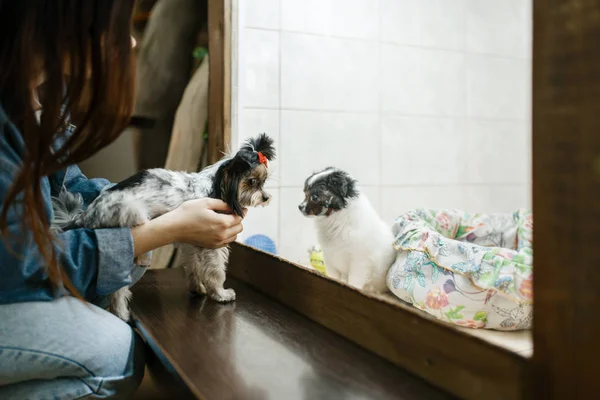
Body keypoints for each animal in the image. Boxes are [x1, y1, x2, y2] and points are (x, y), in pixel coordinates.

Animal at [52, 133, 276, 320]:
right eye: (252, 181)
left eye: (264, 182)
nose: (266, 197)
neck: (215, 186)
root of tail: (88, 213)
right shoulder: (211, 244)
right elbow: (216, 272)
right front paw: (220, 294)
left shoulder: (191, 244)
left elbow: (193, 267)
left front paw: (197, 288)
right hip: (133, 214)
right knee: (118, 286)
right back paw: (123, 308)